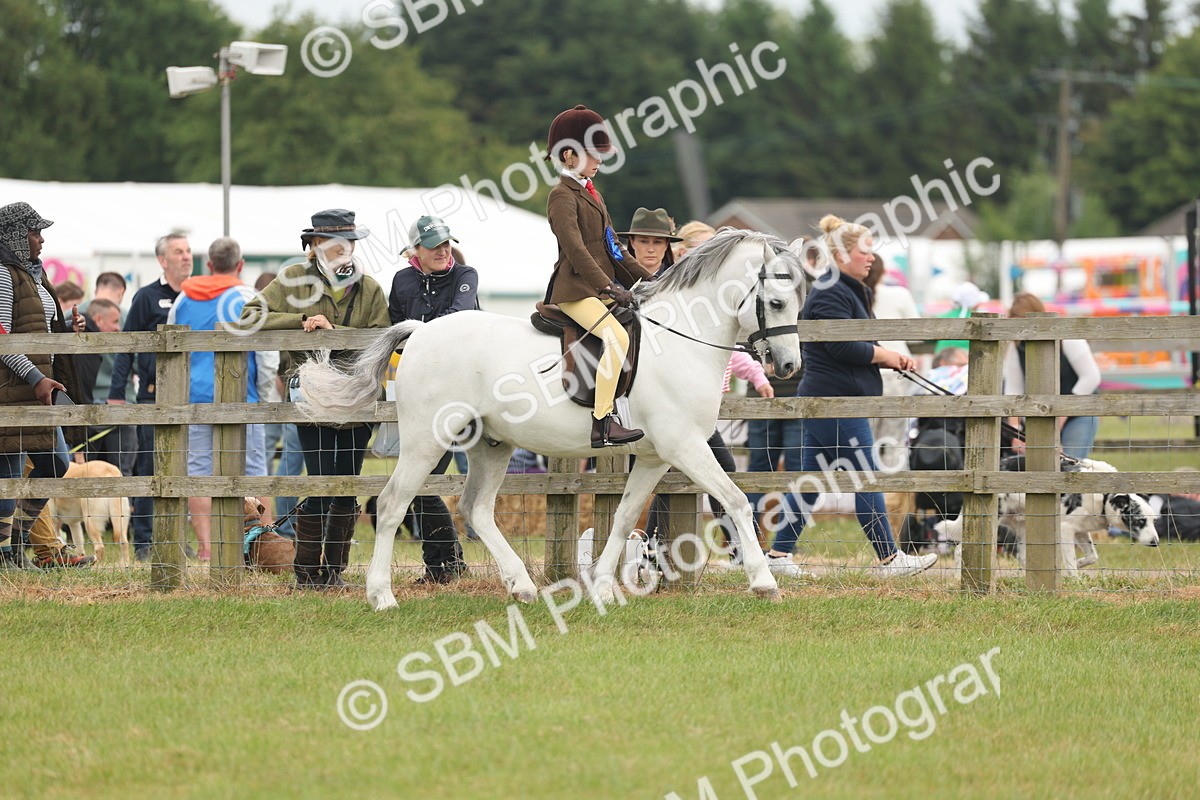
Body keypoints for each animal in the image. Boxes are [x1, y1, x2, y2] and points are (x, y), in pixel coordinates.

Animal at [297, 229, 806, 611]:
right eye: (778, 303)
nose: (788, 368)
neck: (680, 338)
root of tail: (419, 331)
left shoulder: (656, 456)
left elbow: (623, 516)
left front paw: (602, 586)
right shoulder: (685, 446)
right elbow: (736, 500)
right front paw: (764, 582)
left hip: (490, 445)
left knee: (476, 509)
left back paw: (521, 586)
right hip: (427, 440)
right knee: (391, 504)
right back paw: (382, 596)